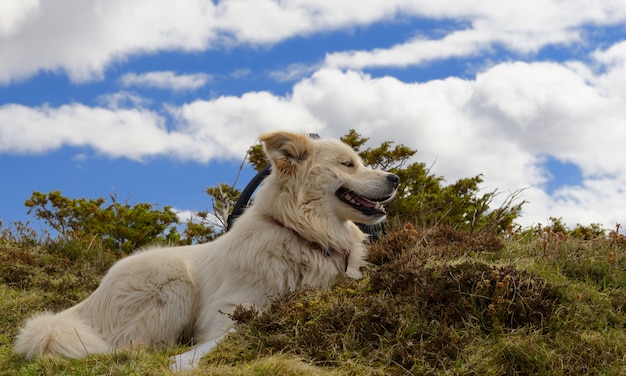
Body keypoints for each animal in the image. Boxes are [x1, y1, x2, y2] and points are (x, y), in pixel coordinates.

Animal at [14, 131, 398, 370]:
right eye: (347, 164)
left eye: (357, 162)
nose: (395, 179)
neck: (305, 235)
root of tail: (82, 308)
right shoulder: (227, 310)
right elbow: (238, 329)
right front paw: (185, 360)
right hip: (173, 283)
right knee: (135, 344)